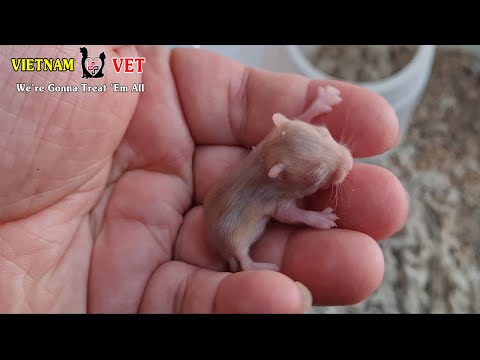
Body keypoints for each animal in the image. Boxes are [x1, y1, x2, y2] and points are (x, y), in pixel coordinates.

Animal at [202, 84, 352, 272]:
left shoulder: (273, 134)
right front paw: (322, 218)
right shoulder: (276, 199)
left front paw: (324, 98)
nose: (350, 164)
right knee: (244, 261)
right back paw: (263, 267)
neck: (266, 158)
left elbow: (300, 117)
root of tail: (216, 248)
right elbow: (290, 215)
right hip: (234, 240)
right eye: (318, 175)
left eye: (325, 132)